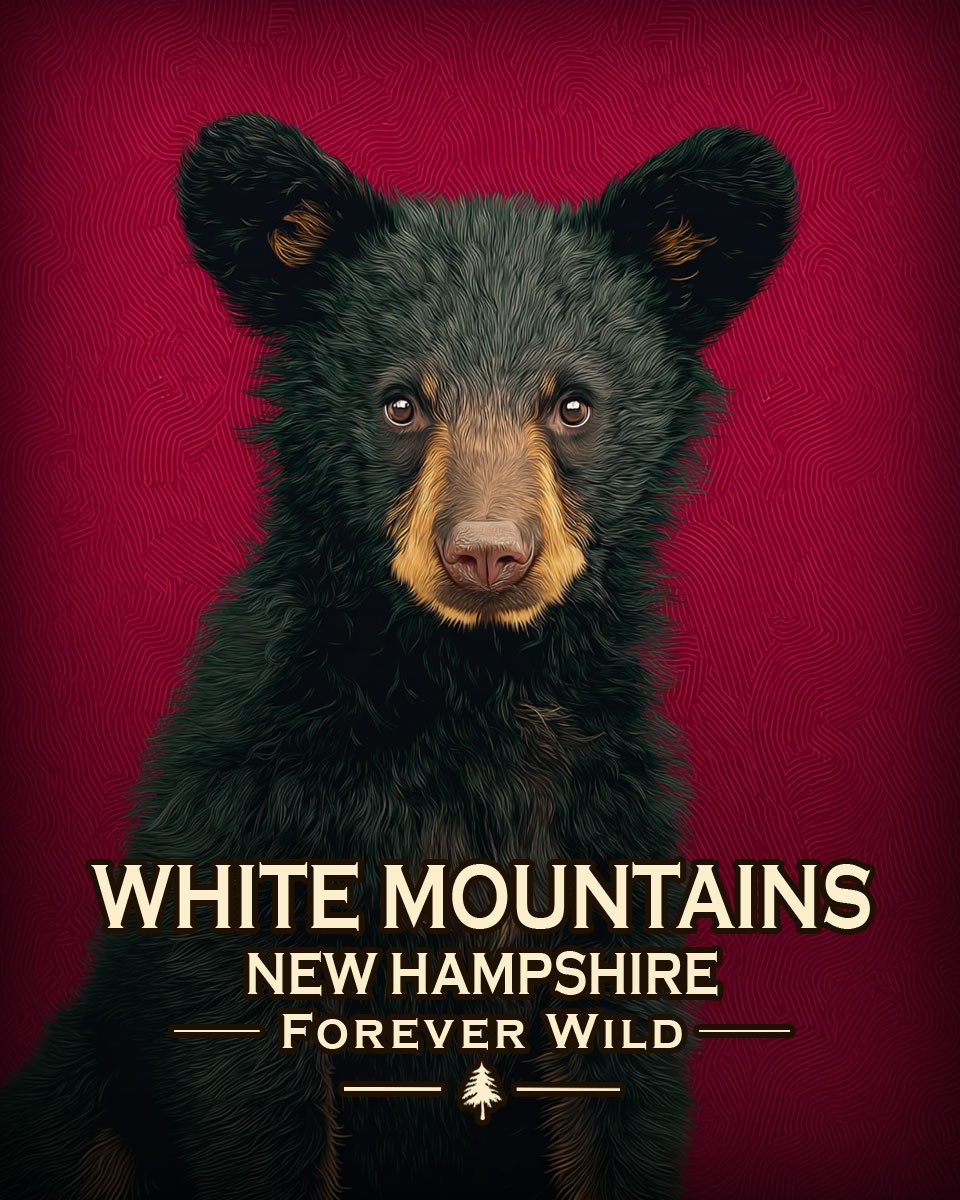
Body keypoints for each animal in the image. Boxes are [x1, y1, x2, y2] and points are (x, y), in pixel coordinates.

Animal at [0, 113, 796, 1200]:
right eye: (400, 406)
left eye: (574, 406)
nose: (488, 554)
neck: (469, 689)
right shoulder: (251, 823)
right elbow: (254, 1095)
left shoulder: (606, 833)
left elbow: (618, 1104)